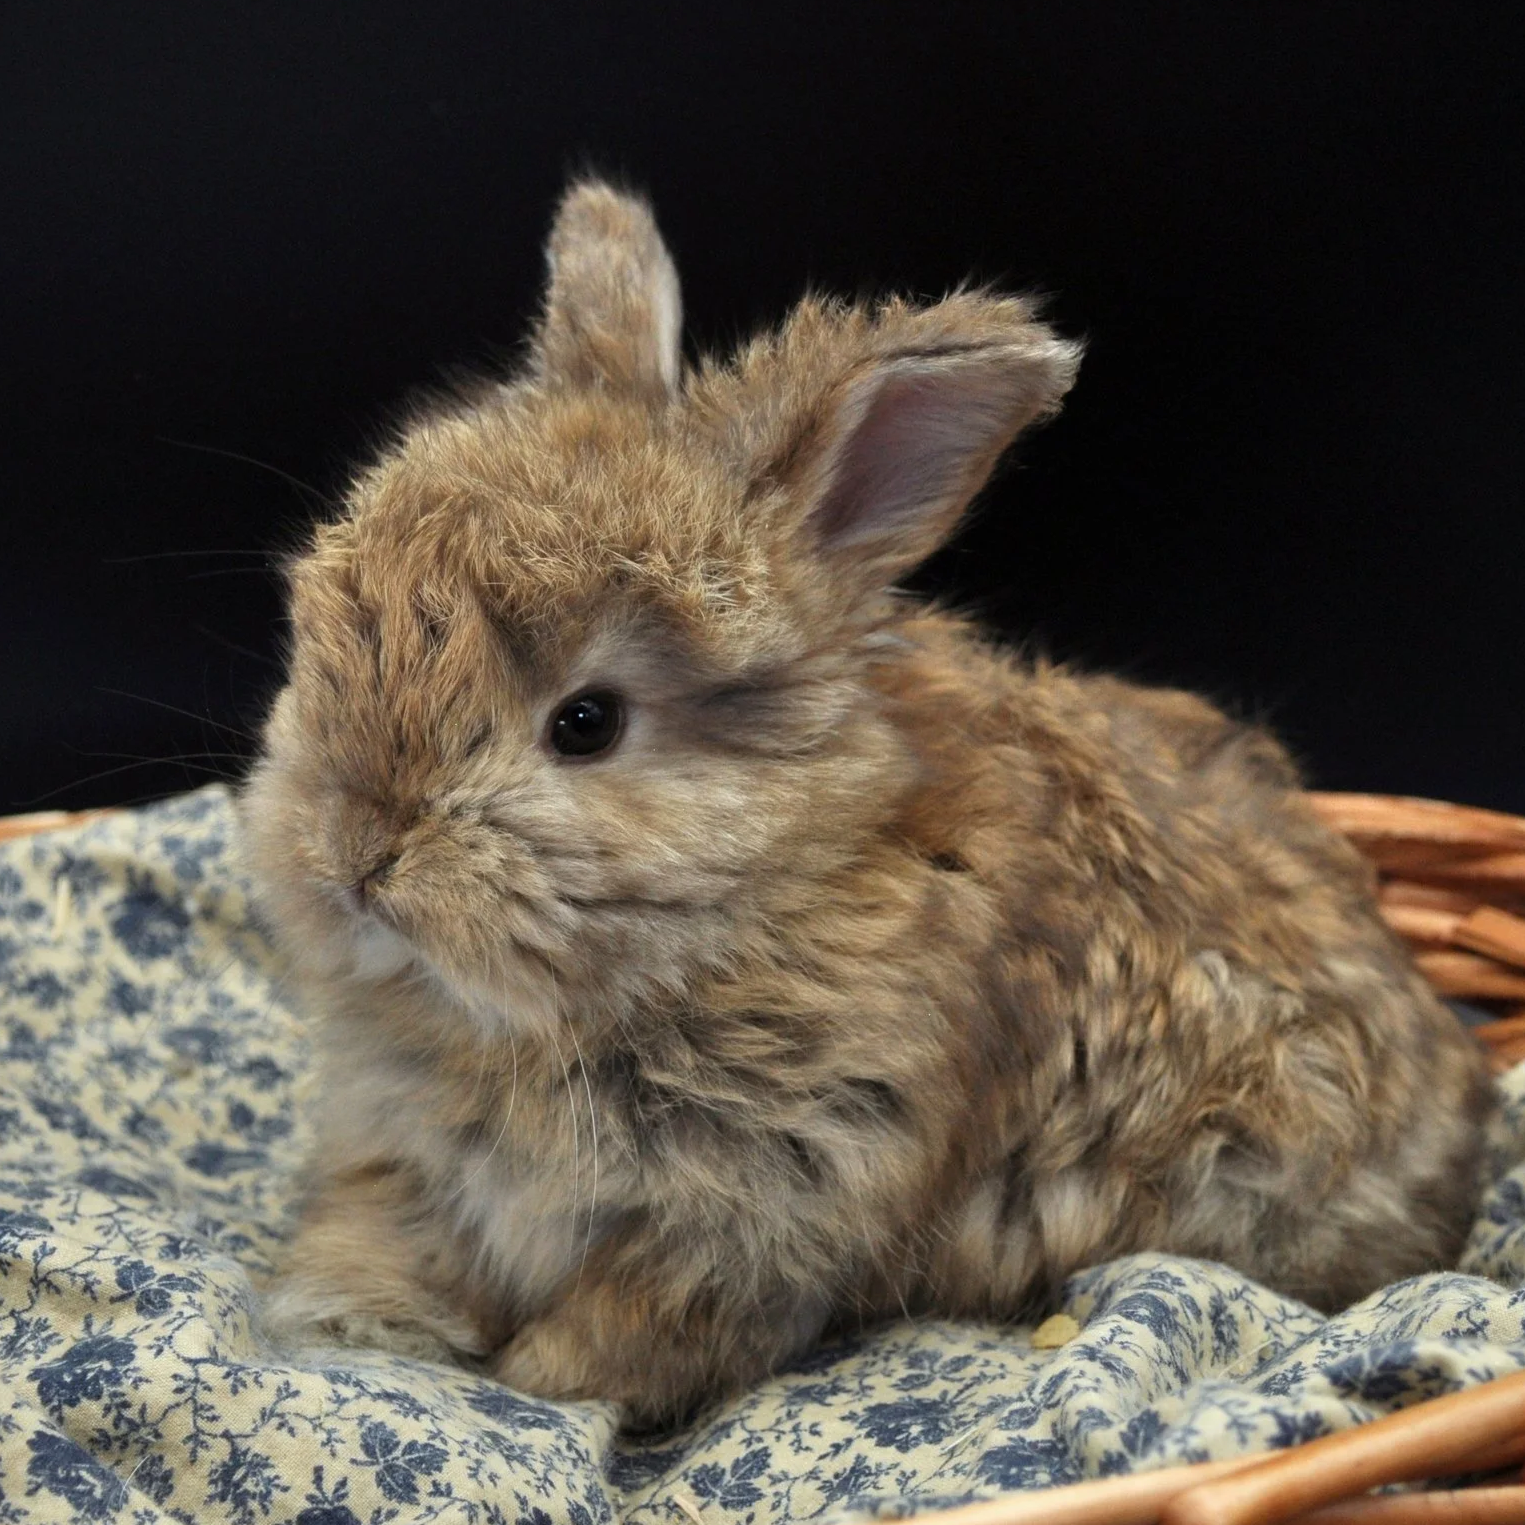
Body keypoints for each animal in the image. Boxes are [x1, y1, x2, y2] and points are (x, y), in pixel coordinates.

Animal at [243, 179, 1494, 1428]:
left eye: (586, 722)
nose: (356, 857)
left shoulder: (758, 1216)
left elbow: (623, 1335)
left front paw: (533, 1383)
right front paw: (357, 1310)